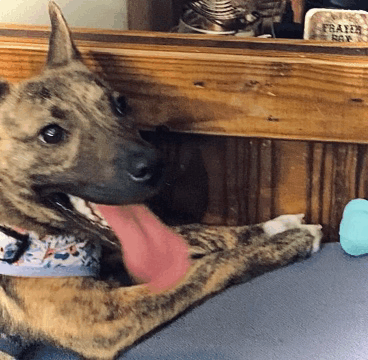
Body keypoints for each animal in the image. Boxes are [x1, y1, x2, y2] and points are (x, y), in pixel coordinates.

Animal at [0, 2, 322, 360]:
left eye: (120, 104)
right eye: (51, 134)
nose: (155, 166)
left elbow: (192, 232)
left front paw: (275, 226)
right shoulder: (99, 319)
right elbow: (208, 266)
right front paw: (288, 242)